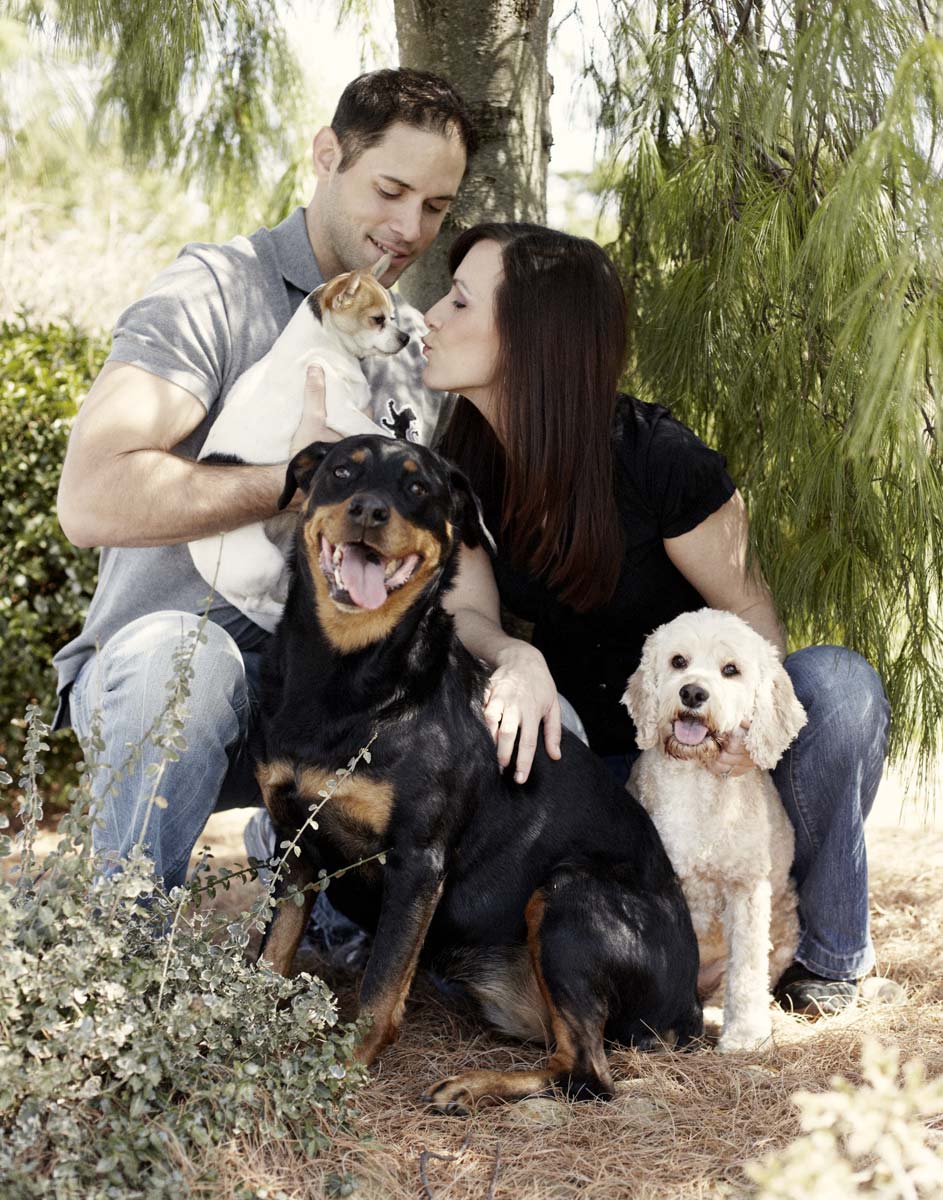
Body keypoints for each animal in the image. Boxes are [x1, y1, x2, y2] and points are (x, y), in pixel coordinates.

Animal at [188, 252, 408, 631]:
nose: (406, 337)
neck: (323, 347)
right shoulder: (342, 413)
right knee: (257, 600)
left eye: (393, 318)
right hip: (264, 561)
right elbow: (376, 433)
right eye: (378, 320)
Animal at [255, 434, 703, 1113]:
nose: (368, 511)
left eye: (418, 488)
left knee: (588, 1074)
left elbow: (380, 991)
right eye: (340, 473)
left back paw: (470, 1085)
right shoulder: (295, 845)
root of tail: (690, 1005)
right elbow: (269, 954)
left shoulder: (416, 861)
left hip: (568, 895)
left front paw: (342, 1068)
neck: (345, 676)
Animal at [622, 608, 807, 1053]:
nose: (692, 693)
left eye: (730, 670)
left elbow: (747, 971)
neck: (697, 781)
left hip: (785, 923)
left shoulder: (747, 889)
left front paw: (745, 1038)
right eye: (678, 661)